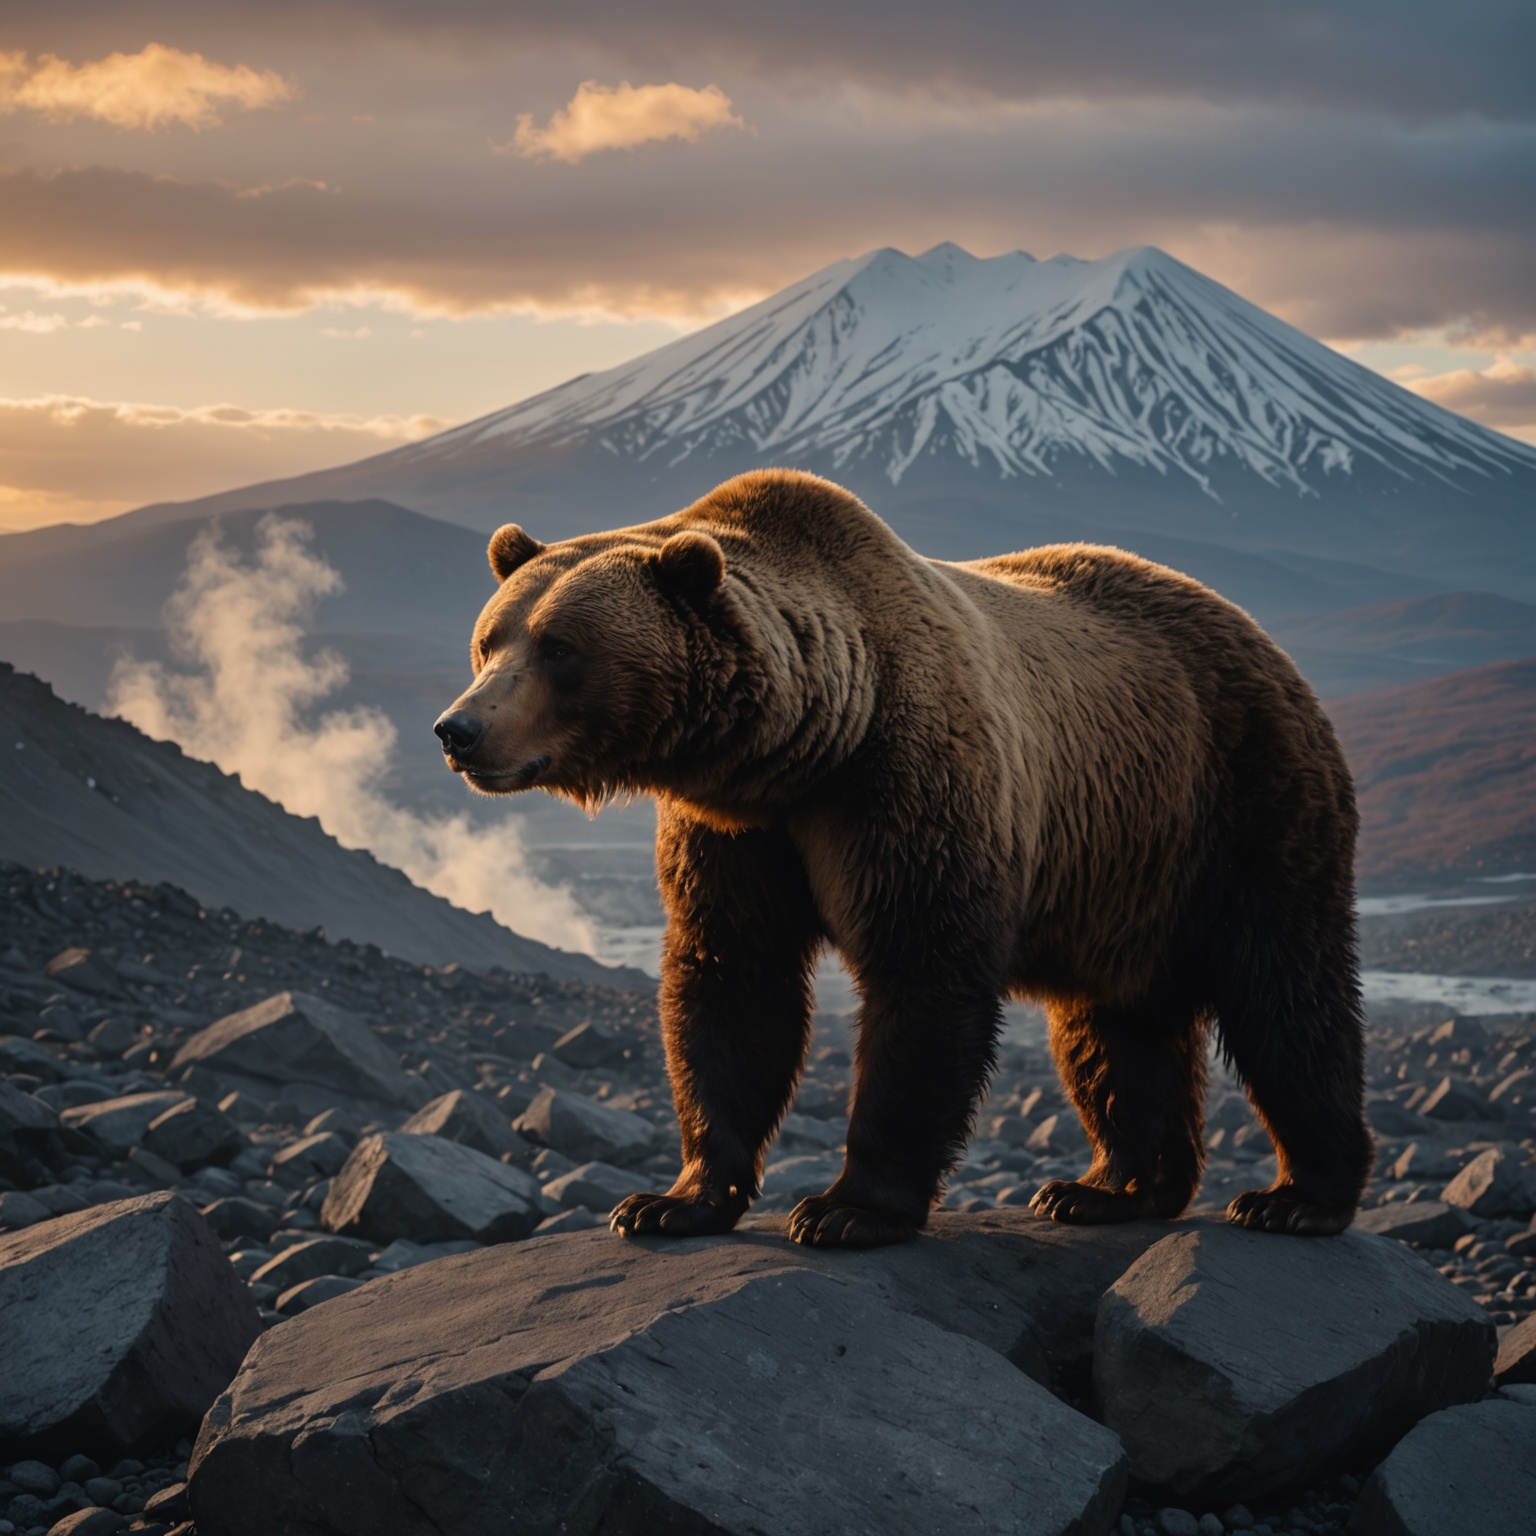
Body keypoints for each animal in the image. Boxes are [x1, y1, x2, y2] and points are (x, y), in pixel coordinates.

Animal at [435, 469, 1374, 1249]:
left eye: (560, 648)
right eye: (490, 640)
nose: (459, 730)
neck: (800, 745)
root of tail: (1255, 632)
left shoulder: (904, 781)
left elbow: (922, 972)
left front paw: (847, 1210)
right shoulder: (736, 834)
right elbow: (731, 983)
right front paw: (672, 1201)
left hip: (1241, 800)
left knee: (1285, 994)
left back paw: (1299, 1196)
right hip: (1124, 876)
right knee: (1113, 1030)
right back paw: (1109, 1188)